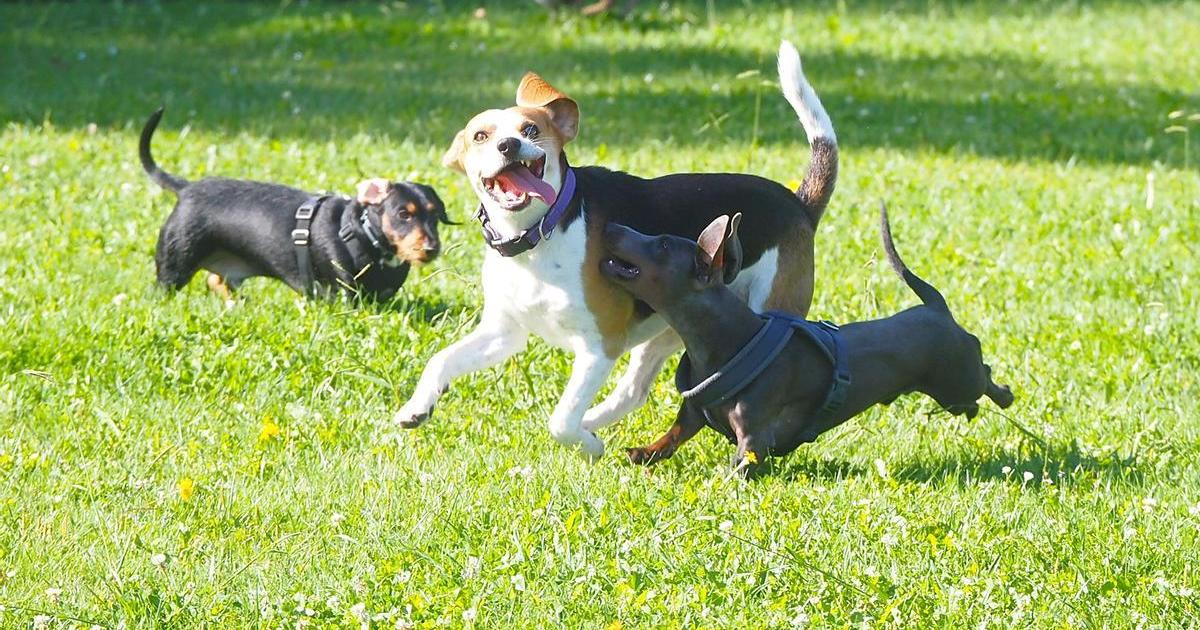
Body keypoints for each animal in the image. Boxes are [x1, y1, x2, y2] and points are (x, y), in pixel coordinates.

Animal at [140, 108, 451, 301]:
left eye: (435, 216)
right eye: (403, 214)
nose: (431, 248)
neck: (364, 234)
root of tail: (187, 189)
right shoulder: (343, 295)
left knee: (216, 280)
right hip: (174, 265)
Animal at [393, 41, 837, 459]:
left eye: (531, 130)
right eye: (480, 136)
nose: (508, 145)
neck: (539, 236)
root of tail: (798, 204)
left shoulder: (598, 347)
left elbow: (560, 419)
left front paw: (586, 446)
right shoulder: (504, 332)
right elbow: (441, 359)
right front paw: (417, 406)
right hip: (671, 325)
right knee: (633, 391)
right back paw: (595, 420)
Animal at [600, 205, 1015, 474]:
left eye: (662, 244)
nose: (611, 227)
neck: (728, 340)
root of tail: (937, 308)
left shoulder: (753, 441)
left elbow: (738, 465)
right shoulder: (692, 413)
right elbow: (674, 434)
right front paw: (644, 452)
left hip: (957, 380)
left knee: (985, 373)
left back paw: (1003, 395)